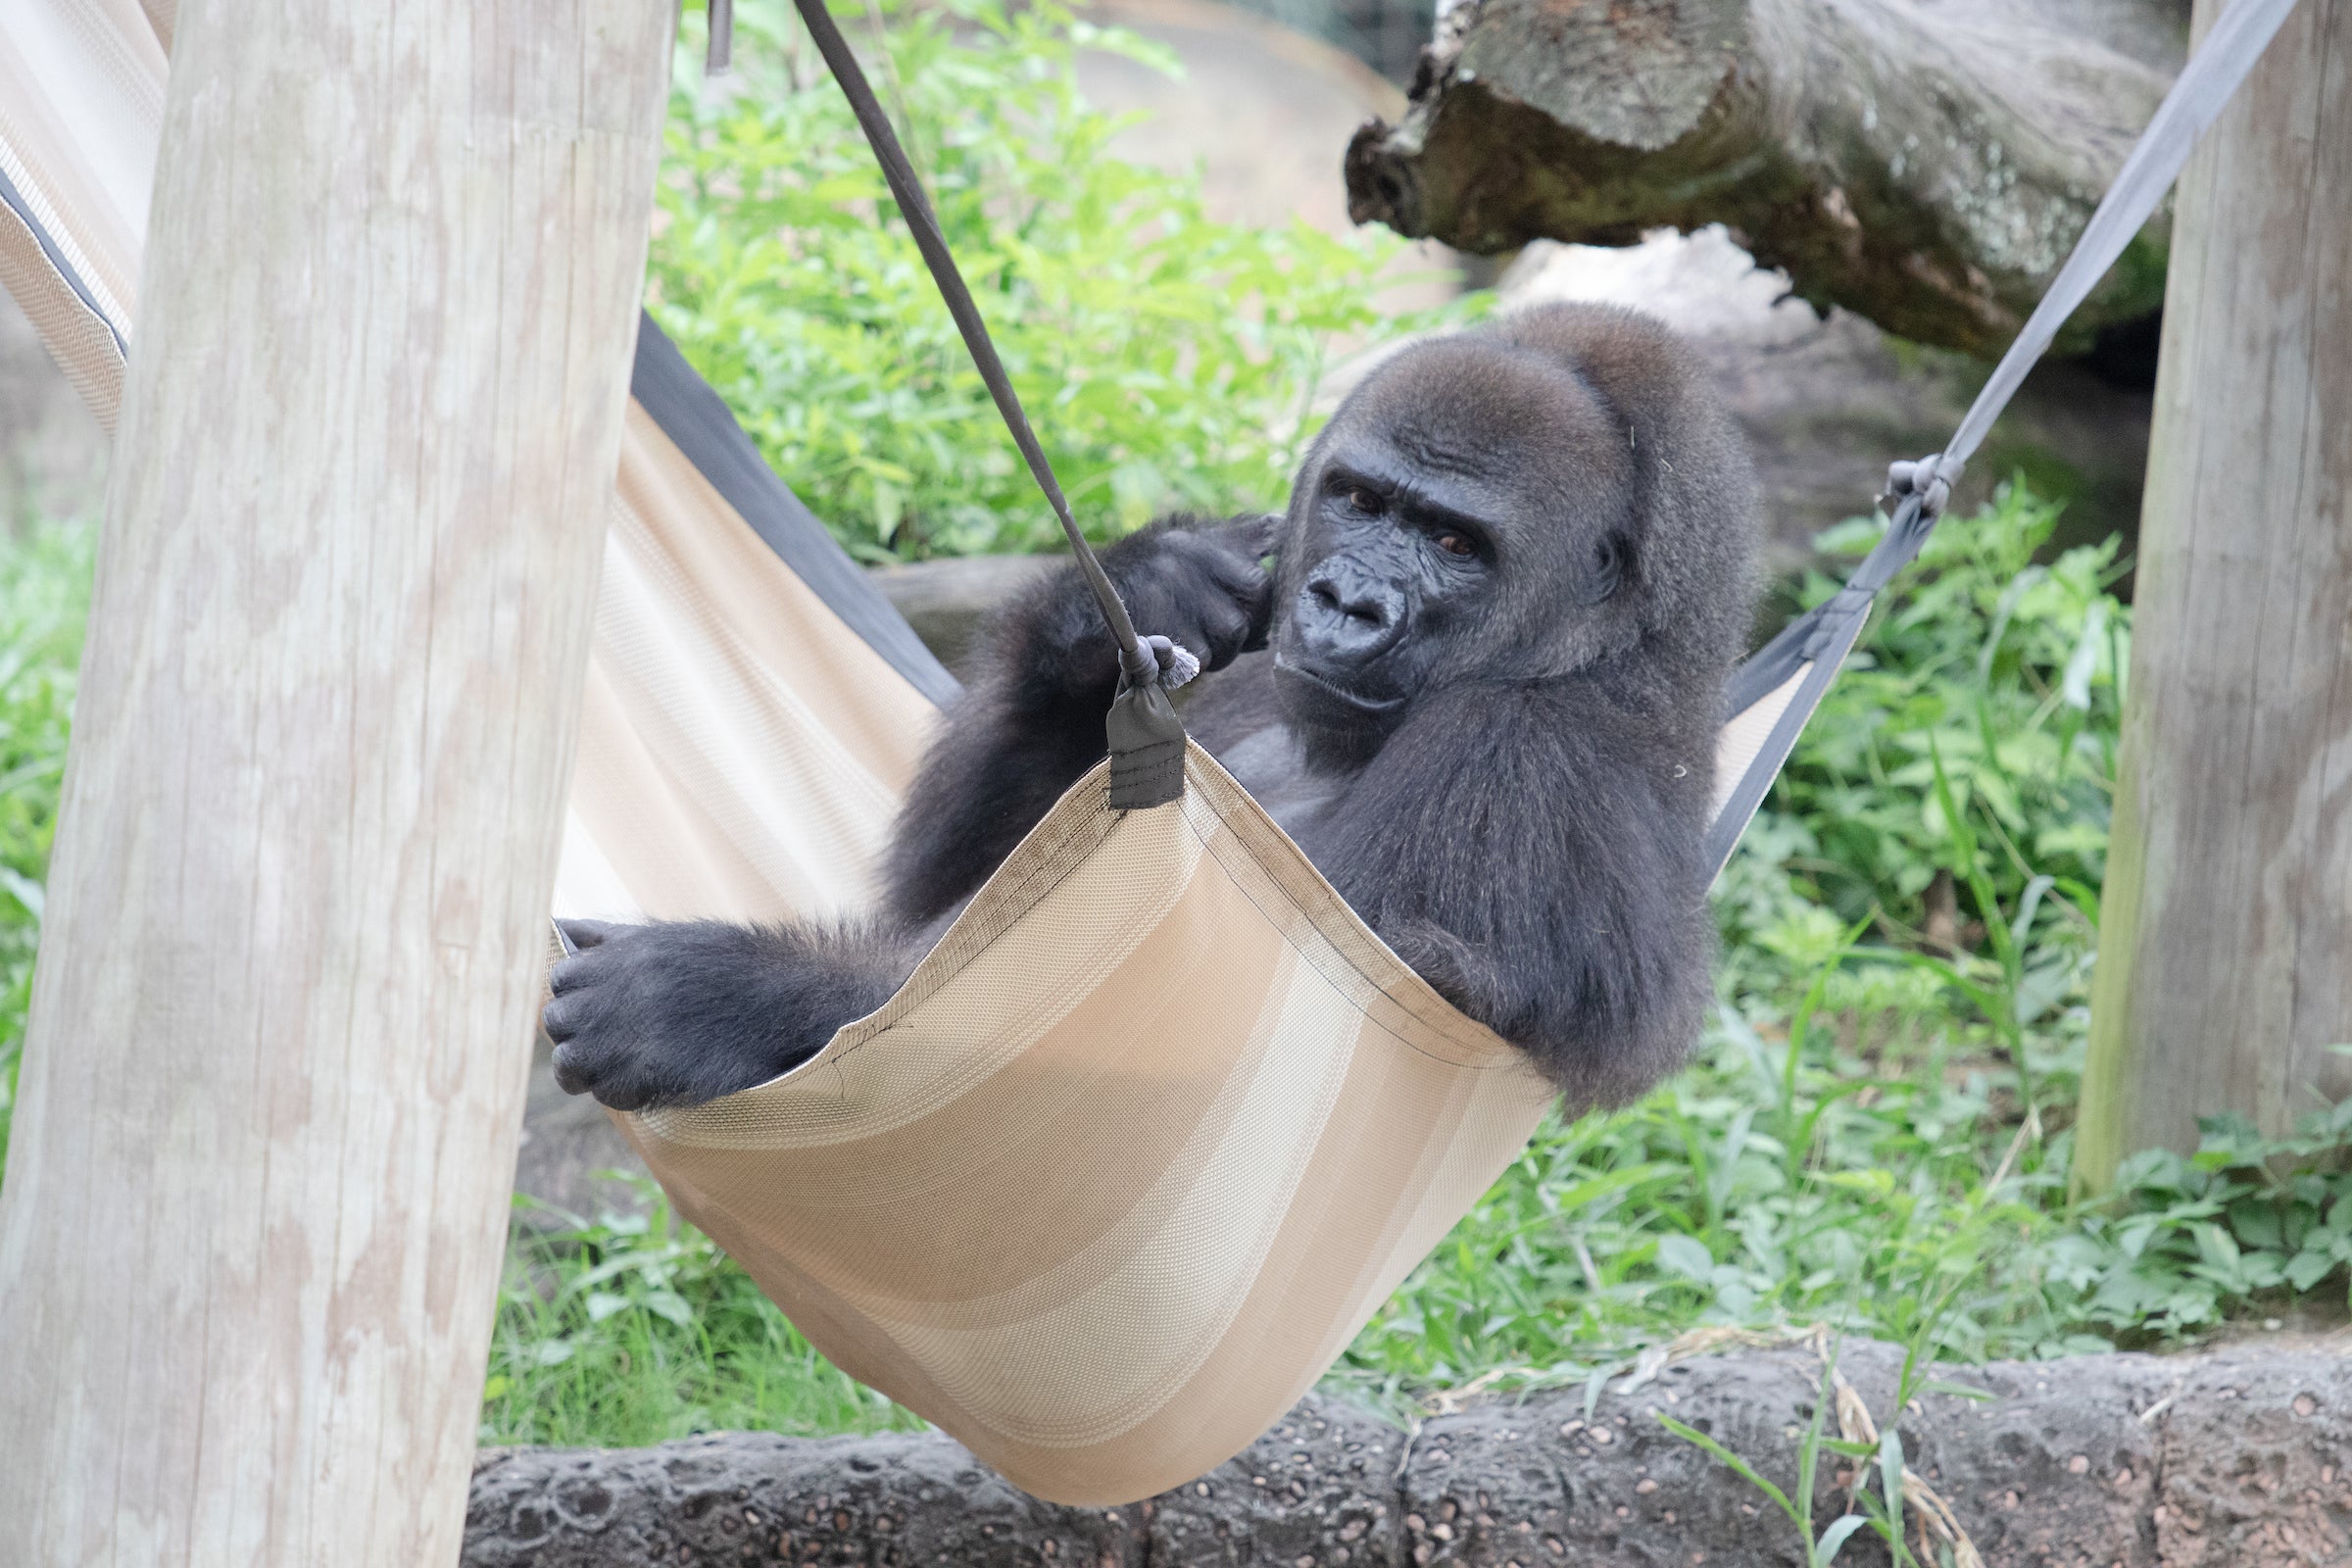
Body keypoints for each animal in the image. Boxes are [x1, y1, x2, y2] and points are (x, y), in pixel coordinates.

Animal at [541, 303, 1759, 1114]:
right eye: (1361, 500)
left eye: (1458, 543)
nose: (1348, 602)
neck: (1610, 657)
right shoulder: (1263, 662)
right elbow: (939, 890)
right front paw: (1122, 600)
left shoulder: (1522, 766)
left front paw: (712, 1001)